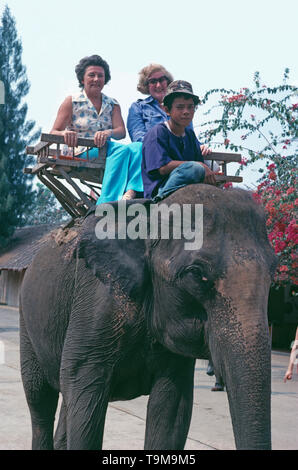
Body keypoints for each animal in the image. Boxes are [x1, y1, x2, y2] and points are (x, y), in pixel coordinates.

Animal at [18, 183, 276, 448]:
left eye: (274, 270)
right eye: (195, 274)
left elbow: (171, 410)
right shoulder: (96, 301)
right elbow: (85, 393)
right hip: (26, 318)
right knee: (40, 400)